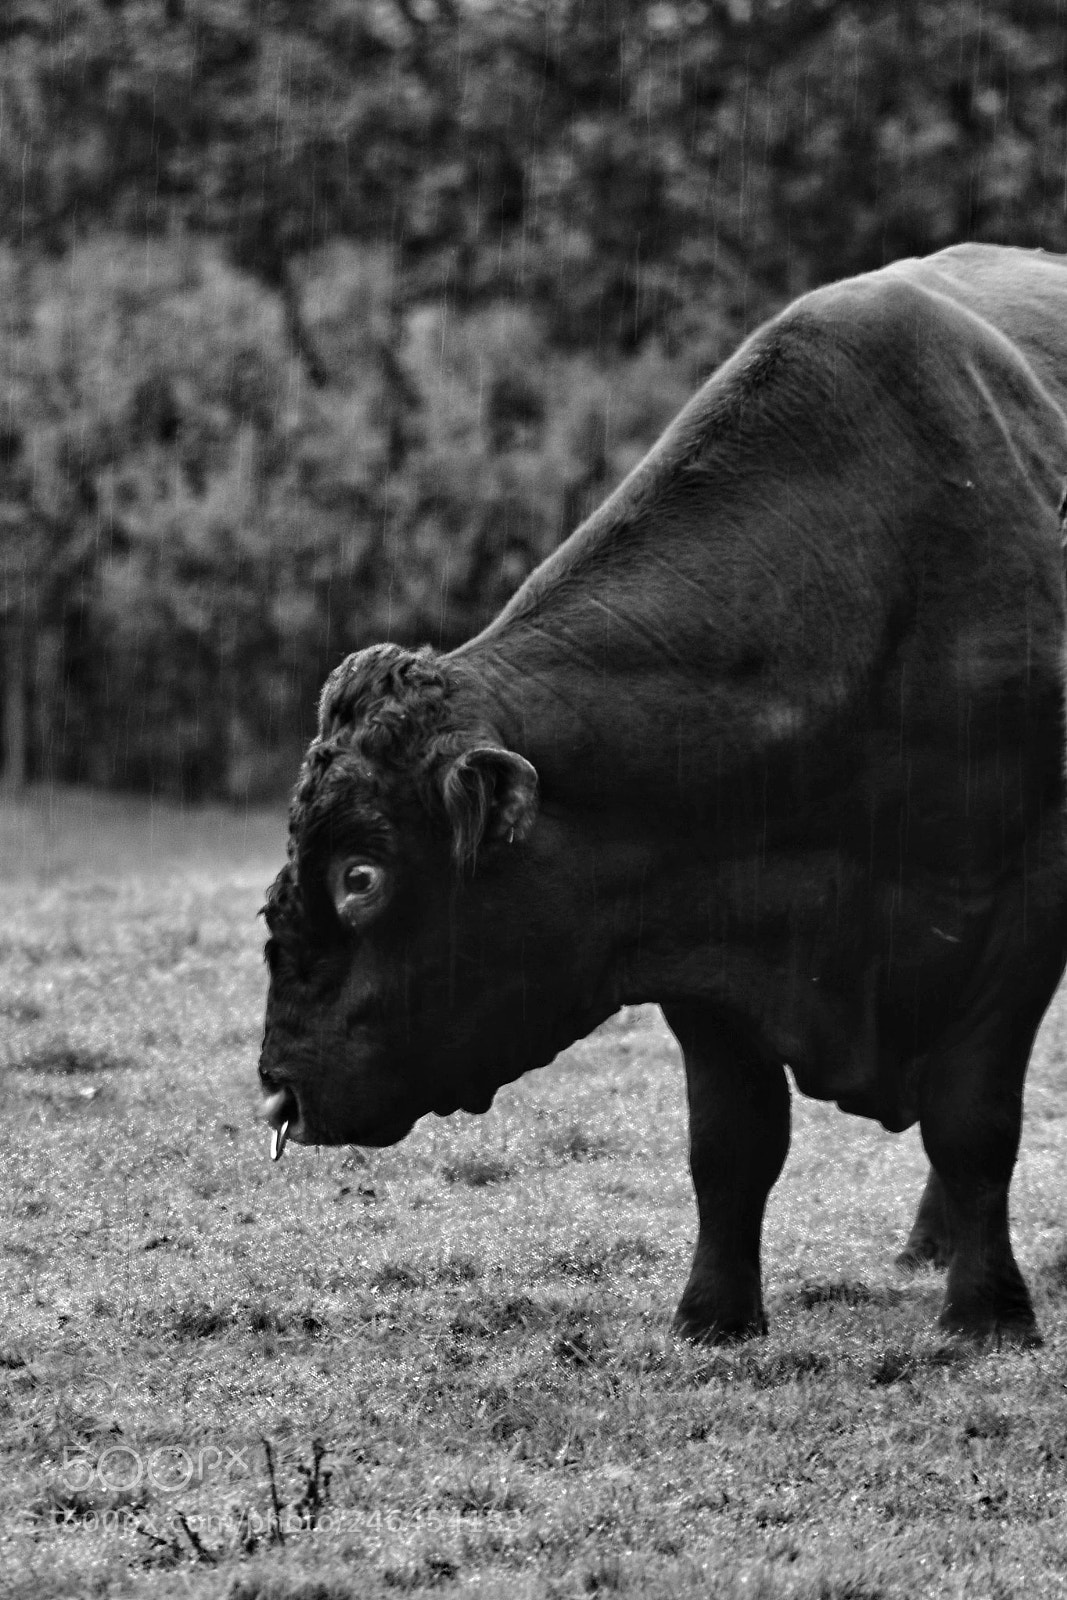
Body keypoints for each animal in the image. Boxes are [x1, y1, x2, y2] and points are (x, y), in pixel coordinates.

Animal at [260, 244, 1067, 1346]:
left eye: (361, 876)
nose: (277, 1088)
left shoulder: (1022, 907)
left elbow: (974, 1117)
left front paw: (987, 1309)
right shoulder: (696, 920)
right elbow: (731, 1144)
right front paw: (715, 1314)